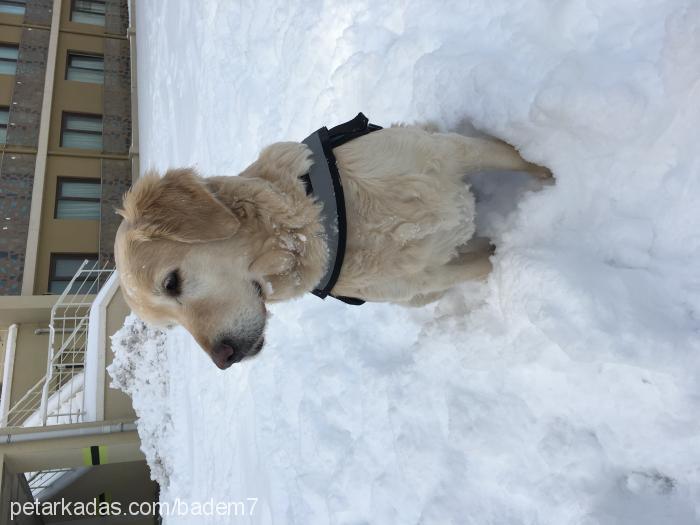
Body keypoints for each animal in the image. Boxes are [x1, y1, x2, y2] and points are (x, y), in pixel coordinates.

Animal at [116, 123, 552, 368]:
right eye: (171, 327)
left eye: (171, 283)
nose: (224, 360)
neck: (331, 224)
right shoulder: (426, 276)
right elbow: (489, 261)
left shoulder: (447, 152)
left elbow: (518, 158)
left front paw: (554, 176)